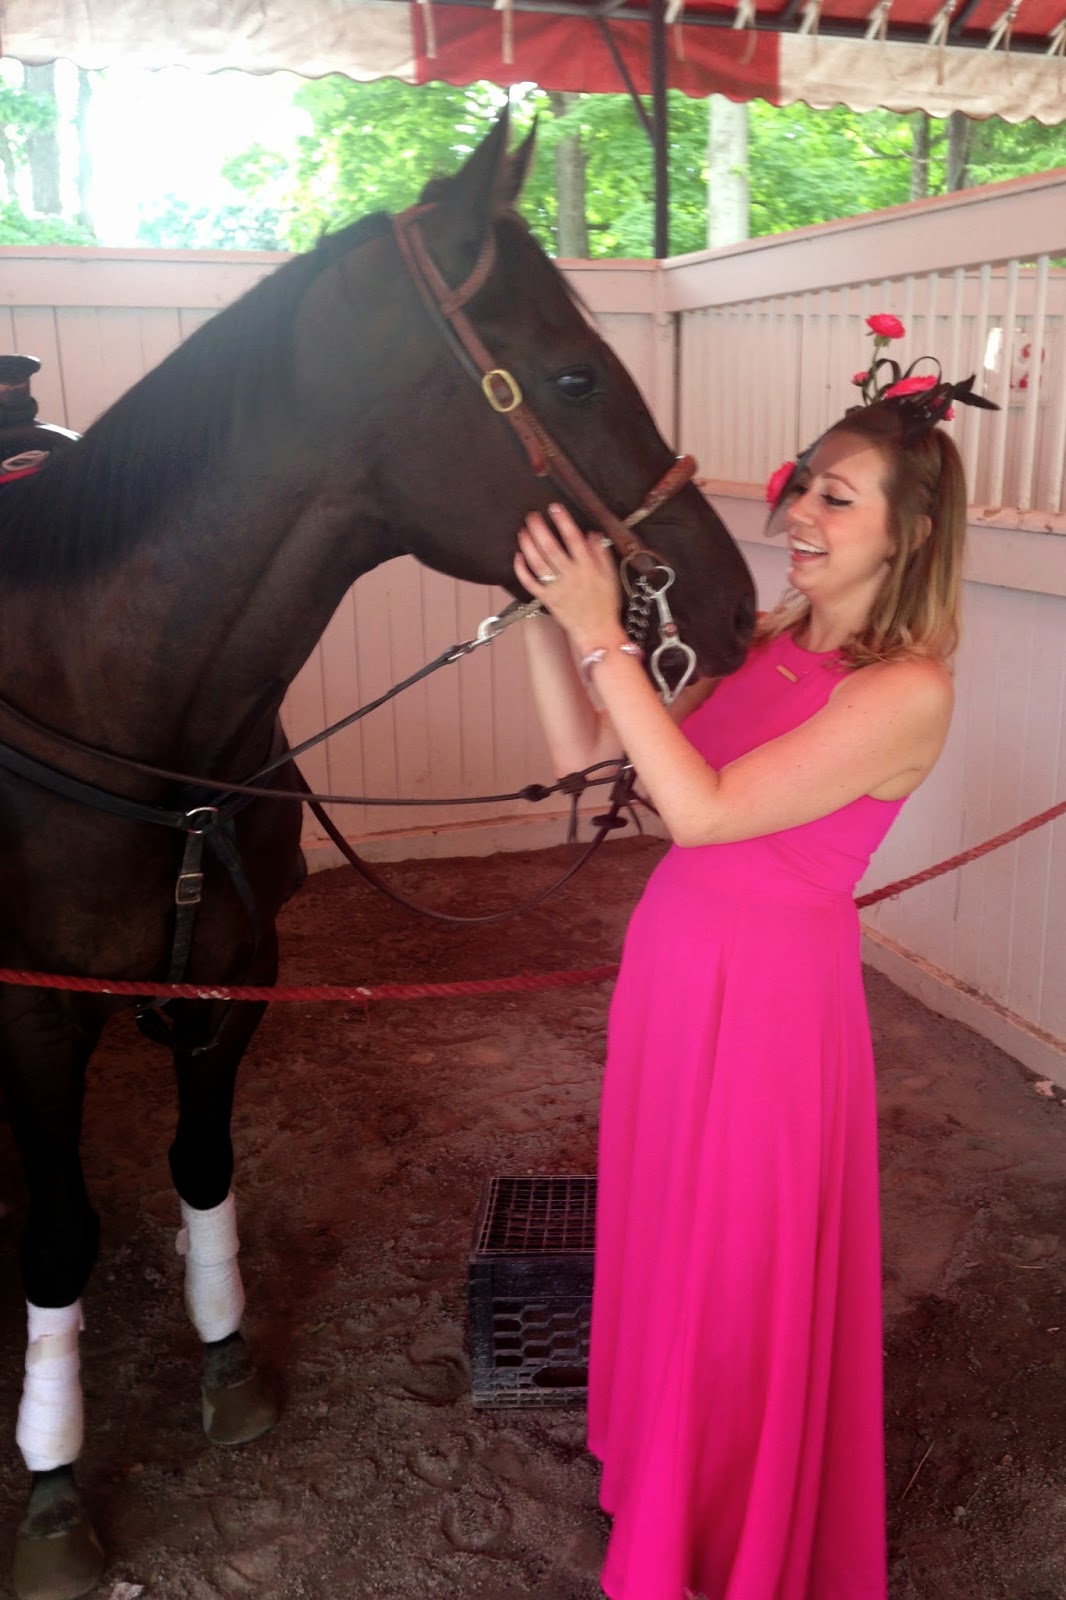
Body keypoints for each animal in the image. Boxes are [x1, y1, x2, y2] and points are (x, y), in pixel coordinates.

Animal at [0, 113, 755, 1599]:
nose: (732, 595)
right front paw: (53, 1484)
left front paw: (227, 1359)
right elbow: (60, 1233)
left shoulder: (233, 980)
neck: (114, 710)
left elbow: (201, 1167)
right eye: (572, 373)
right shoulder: (39, 1020)